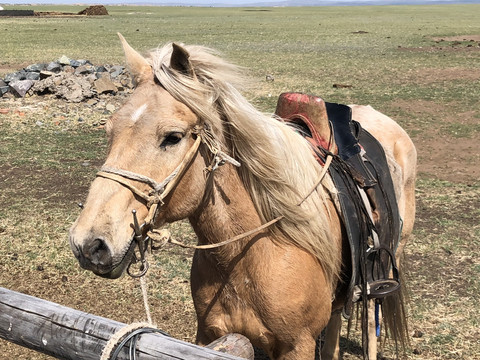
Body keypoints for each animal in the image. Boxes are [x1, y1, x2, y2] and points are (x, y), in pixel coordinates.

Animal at [68, 34, 416, 360]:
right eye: (110, 131)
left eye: (173, 137)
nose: (89, 243)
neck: (250, 252)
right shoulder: (208, 334)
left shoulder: (298, 346)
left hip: (384, 268)